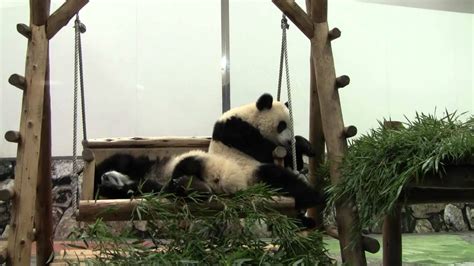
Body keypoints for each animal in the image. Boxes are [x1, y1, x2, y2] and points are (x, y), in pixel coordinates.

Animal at [94, 93, 324, 210]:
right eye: (282, 125)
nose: (288, 140)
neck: (249, 114)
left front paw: (304, 146)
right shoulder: (236, 131)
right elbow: (263, 151)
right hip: (247, 173)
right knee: (278, 177)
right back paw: (314, 199)